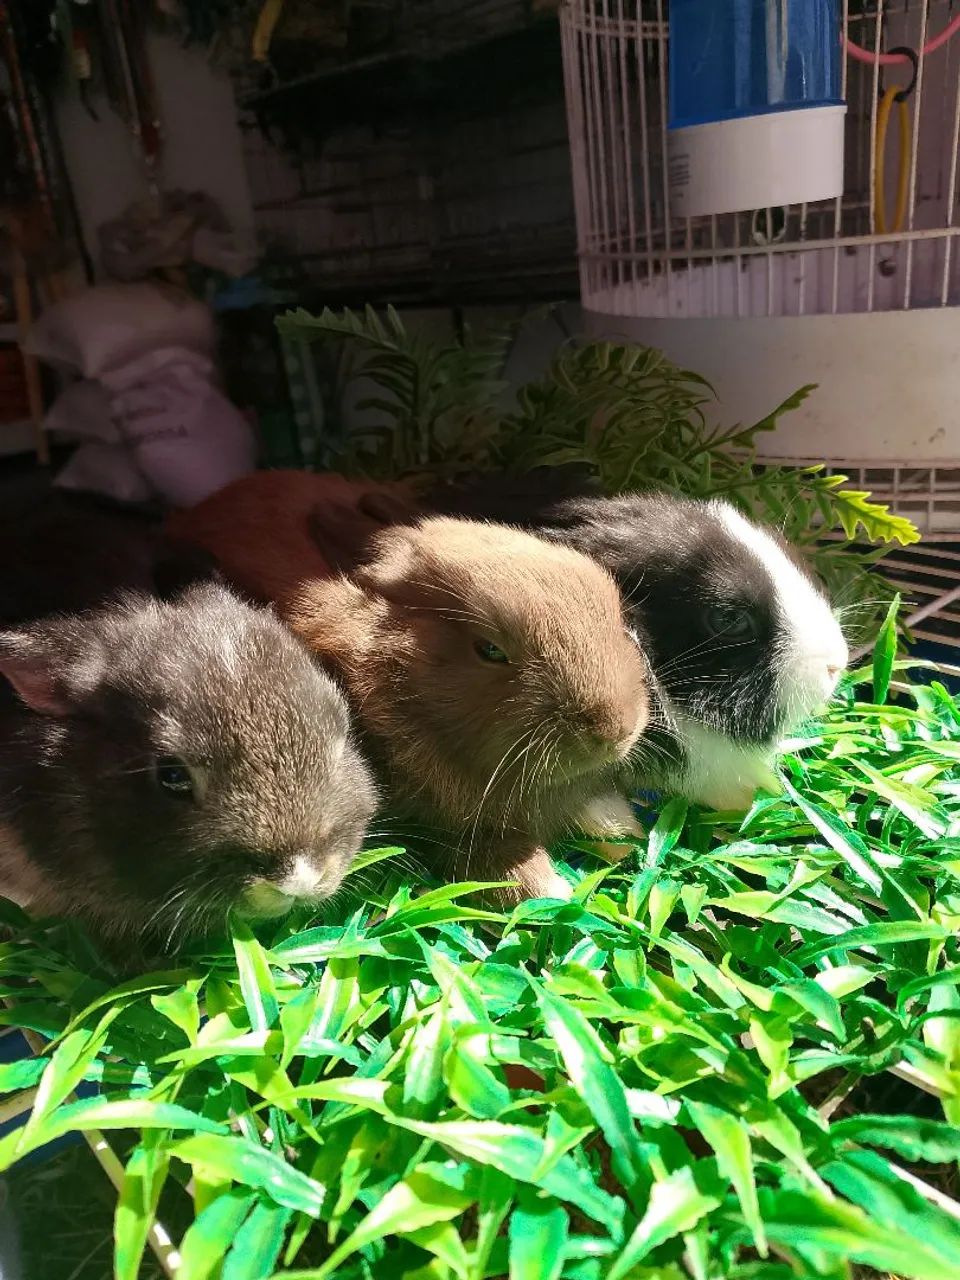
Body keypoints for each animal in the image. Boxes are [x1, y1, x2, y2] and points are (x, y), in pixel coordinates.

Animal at [282, 508, 657, 901]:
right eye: (489, 650)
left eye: (618, 619)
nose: (616, 731)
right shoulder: (445, 829)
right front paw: (555, 892)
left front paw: (626, 834)